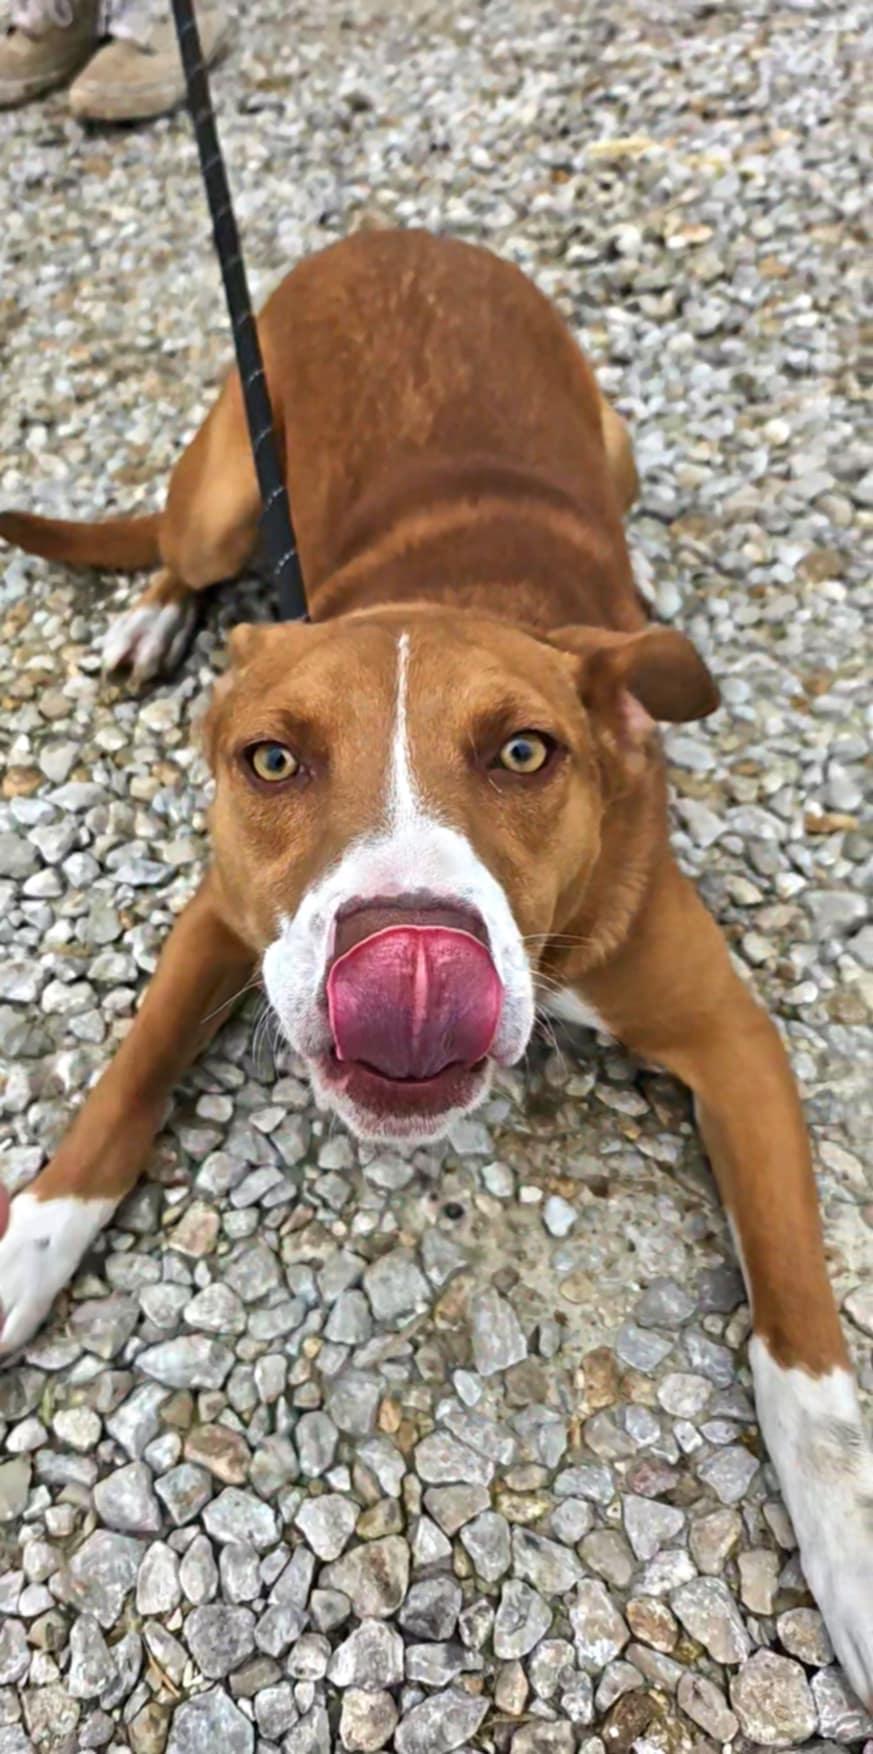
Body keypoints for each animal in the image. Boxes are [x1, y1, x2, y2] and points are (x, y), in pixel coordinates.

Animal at [0, 229, 870, 1701]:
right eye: (271, 760)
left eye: (525, 751)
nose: (408, 965)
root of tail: (396, 234)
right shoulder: (223, 915)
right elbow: (124, 1087)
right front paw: (24, 1250)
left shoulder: (736, 1041)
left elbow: (802, 1338)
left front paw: (855, 1546)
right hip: (224, 493)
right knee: (177, 556)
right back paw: (154, 622)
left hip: (610, 440)